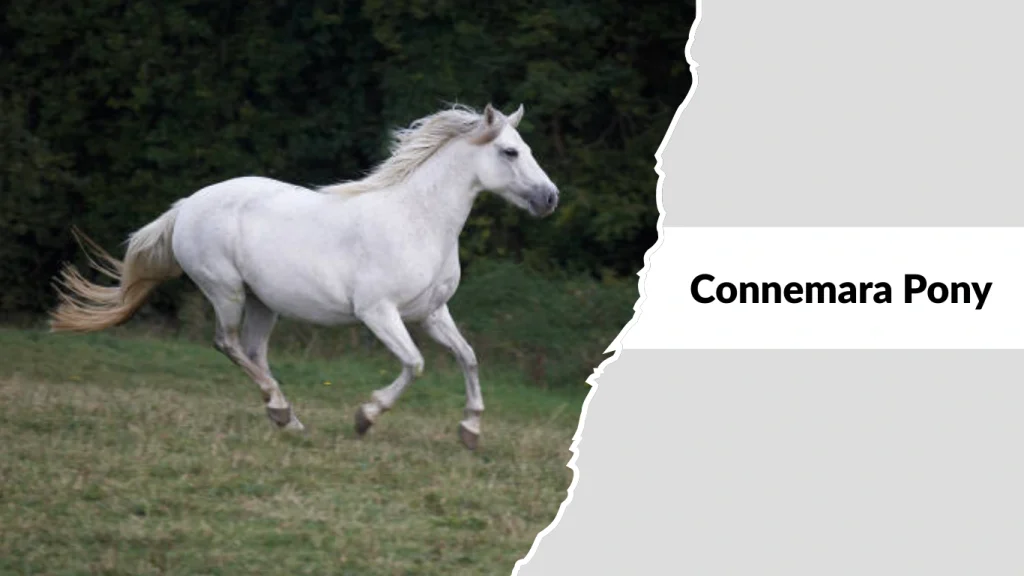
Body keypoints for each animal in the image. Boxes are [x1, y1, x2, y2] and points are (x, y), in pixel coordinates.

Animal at [48, 103, 559, 450]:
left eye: (529, 149)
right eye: (510, 151)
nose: (550, 198)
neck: (416, 220)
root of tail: (187, 206)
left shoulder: (431, 312)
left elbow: (468, 357)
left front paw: (470, 430)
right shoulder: (378, 312)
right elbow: (414, 364)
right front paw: (365, 417)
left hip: (262, 302)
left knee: (253, 350)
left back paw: (288, 419)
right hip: (226, 291)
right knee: (227, 344)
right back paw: (280, 409)